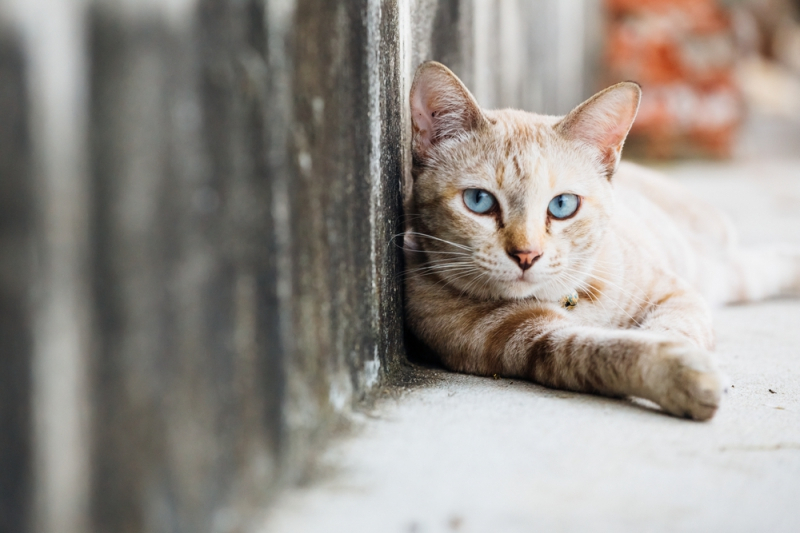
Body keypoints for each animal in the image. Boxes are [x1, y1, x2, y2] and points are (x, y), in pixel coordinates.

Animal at [404, 61, 800, 420]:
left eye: (562, 205)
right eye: (479, 201)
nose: (527, 255)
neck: (569, 299)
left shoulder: (675, 293)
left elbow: (671, 330)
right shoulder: (535, 341)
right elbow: (603, 350)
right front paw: (681, 374)